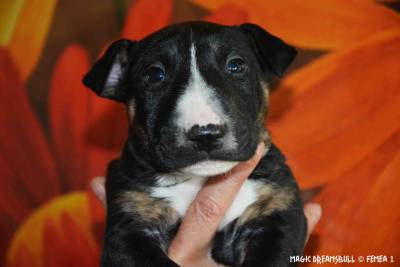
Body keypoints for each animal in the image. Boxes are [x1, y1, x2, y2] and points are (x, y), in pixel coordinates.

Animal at [82, 22, 306, 266]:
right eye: (155, 74)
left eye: (236, 65)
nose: (205, 133)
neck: (198, 182)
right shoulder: (128, 227)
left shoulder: (277, 212)